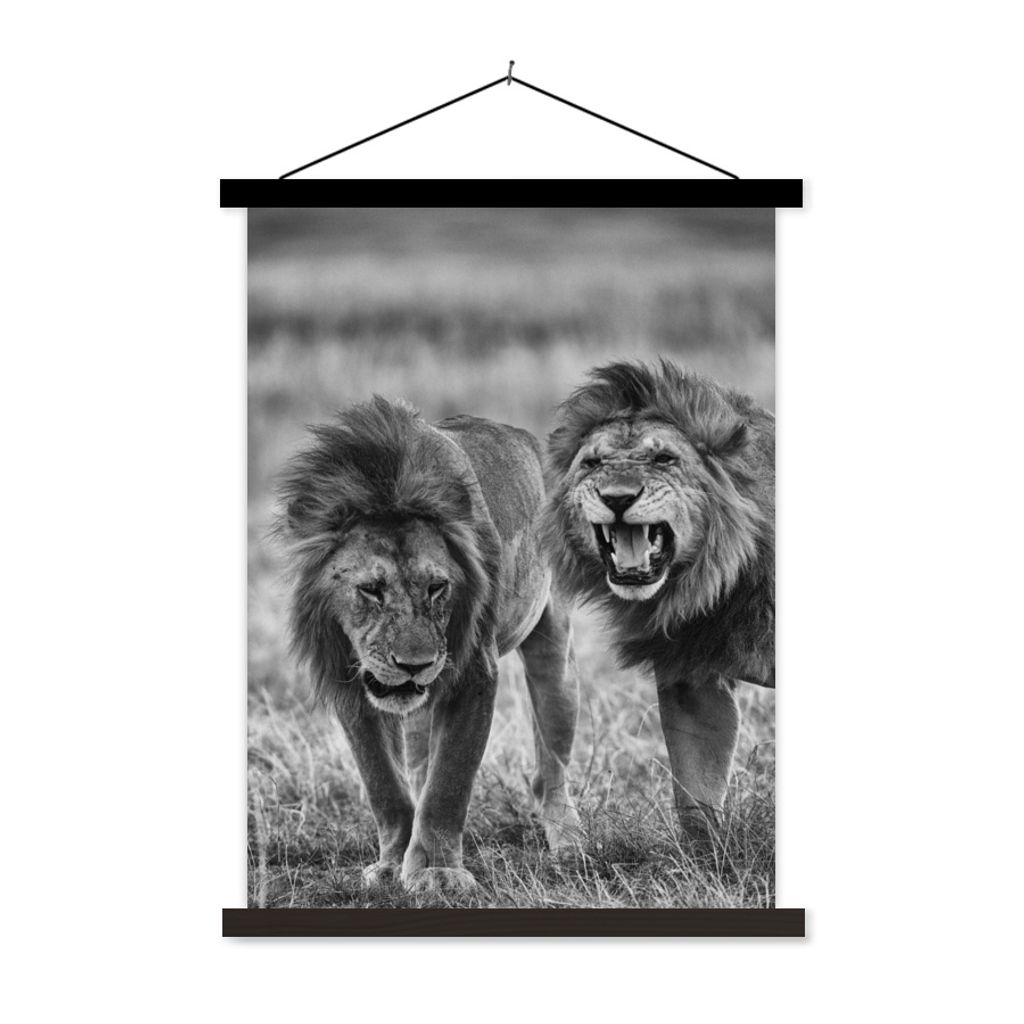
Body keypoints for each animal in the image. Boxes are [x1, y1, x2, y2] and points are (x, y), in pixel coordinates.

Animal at [277, 396, 580, 893]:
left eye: (437, 588)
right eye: (371, 590)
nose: (415, 665)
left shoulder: (474, 672)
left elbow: (449, 782)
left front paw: (437, 871)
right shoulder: (349, 679)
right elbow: (383, 783)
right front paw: (392, 862)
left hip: (555, 653)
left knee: (551, 765)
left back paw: (570, 842)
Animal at [542, 359, 773, 834]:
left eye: (664, 459)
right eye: (593, 462)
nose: (618, 497)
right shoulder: (691, 679)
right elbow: (695, 792)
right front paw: (707, 854)